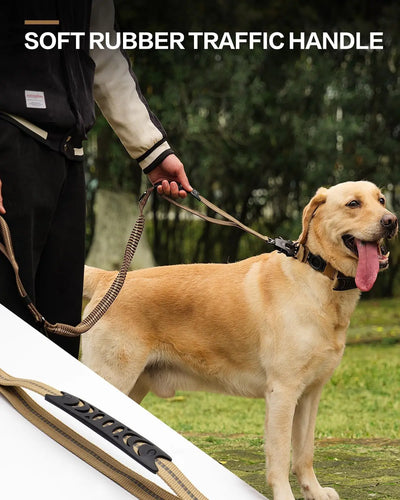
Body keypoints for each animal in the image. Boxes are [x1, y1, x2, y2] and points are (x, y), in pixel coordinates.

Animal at [81, 181, 396, 500]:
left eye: (381, 200)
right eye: (353, 204)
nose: (391, 221)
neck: (318, 276)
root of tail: (108, 277)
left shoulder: (310, 393)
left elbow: (305, 453)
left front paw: (315, 492)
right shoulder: (282, 392)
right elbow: (280, 456)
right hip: (114, 374)